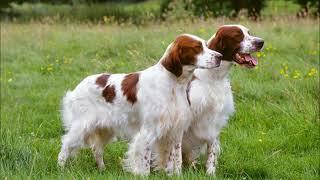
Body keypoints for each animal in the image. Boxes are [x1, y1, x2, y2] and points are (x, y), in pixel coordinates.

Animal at [57, 33, 221, 174]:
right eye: (197, 47)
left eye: (206, 45)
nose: (220, 56)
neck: (173, 84)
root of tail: (77, 87)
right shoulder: (148, 132)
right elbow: (145, 161)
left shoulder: (175, 131)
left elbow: (176, 160)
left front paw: (176, 174)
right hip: (82, 126)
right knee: (66, 144)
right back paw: (60, 168)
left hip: (105, 128)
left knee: (96, 149)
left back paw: (102, 169)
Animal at [181, 24, 264, 174]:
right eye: (238, 36)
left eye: (249, 33)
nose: (261, 42)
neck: (214, 76)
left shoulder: (215, 119)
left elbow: (212, 152)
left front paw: (210, 172)